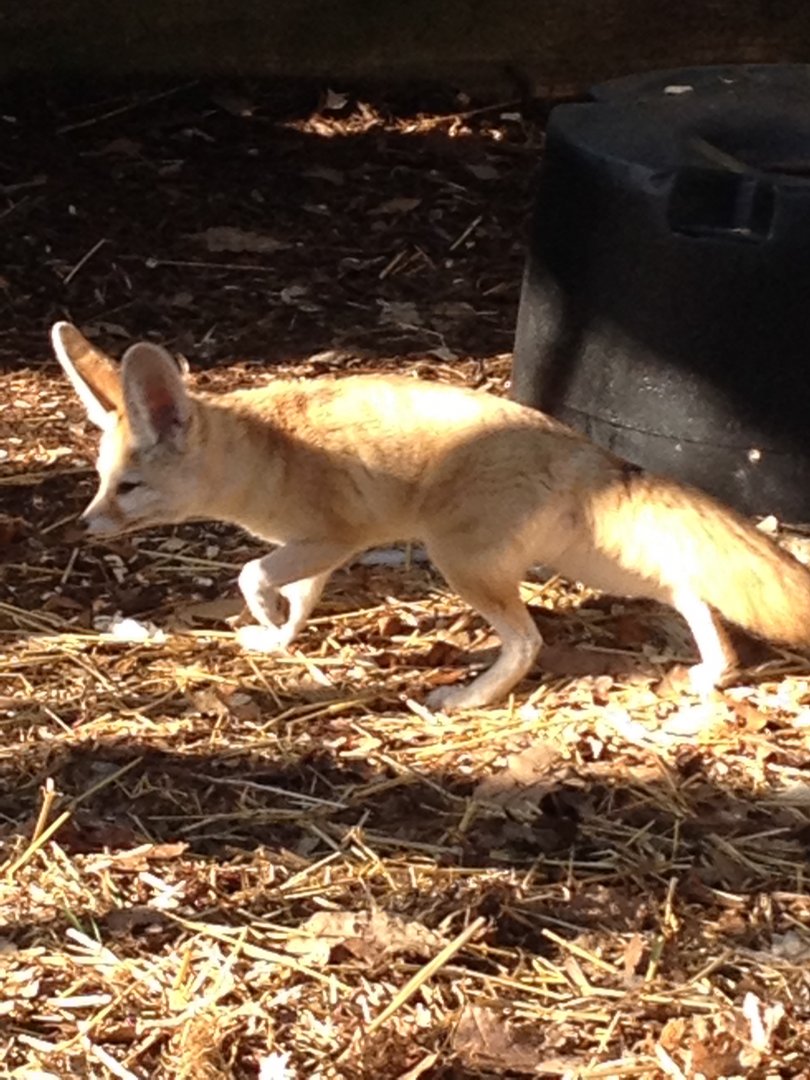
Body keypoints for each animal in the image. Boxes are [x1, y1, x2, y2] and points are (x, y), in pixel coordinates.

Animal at [51, 320, 810, 711]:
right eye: (100, 483)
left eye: (129, 487)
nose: (84, 526)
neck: (265, 452)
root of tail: (581, 447)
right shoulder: (318, 552)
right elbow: (298, 602)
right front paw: (279, 638)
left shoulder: (332, 539)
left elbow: (251, 574)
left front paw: (263, 616)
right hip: (588, 564)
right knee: (688, 588)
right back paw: (714, 671)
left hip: (465, 565)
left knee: (529, 642)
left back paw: (469, 698)